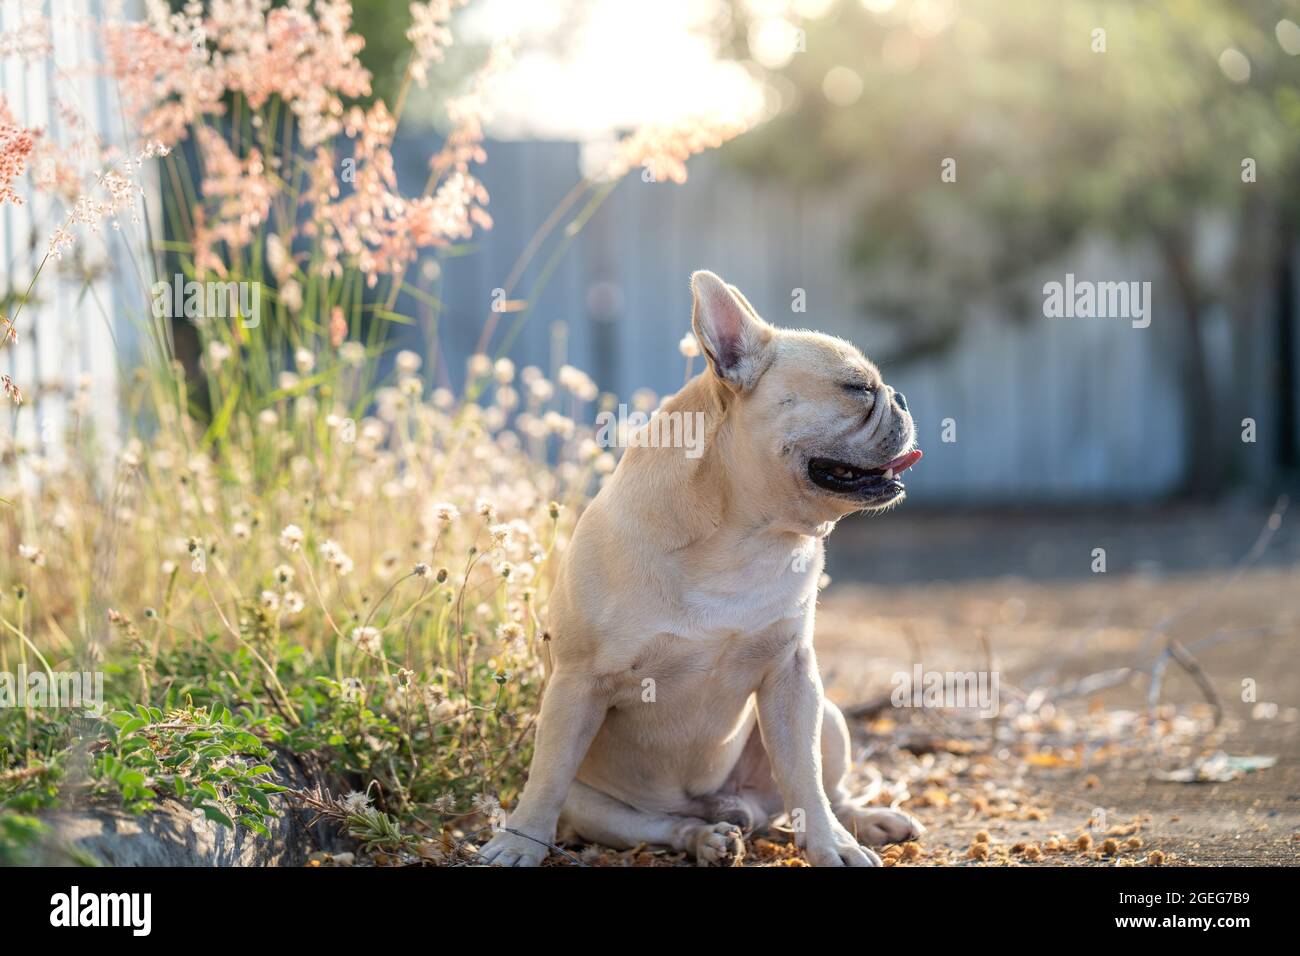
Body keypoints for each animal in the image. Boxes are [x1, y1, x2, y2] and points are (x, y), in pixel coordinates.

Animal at [480, 269, 925, 868]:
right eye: (857, 388)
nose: (900, 396)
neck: (744, 535)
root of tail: (738, 808)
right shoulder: (577, 684)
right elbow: (547, 779)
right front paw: (519, 842)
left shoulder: (792, 677)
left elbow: (804, 778)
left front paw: (831, 846)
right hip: (594, 804)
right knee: (657, 824)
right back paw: (707, 837)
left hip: (828, 717)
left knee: (822, 791)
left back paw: (861, 821)